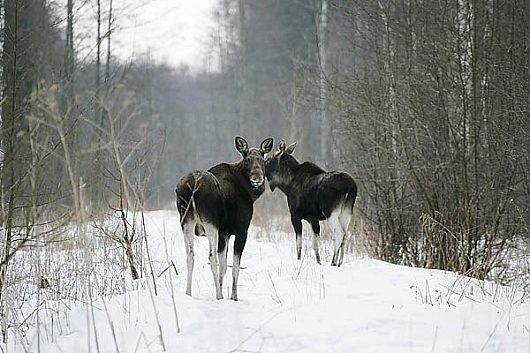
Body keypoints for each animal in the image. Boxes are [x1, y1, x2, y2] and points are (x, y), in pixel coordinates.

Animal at [175, 136, 272, 298]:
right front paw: (232, 297)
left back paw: (188, 293)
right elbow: (234, 267)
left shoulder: (224, 234)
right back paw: (219, 295)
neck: (250, 194)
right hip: (210, 222)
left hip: (186, 221)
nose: (257, 178)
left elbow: (224, 266)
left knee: (190, 255)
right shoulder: (240, 231)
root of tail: (194, 183)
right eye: (247, 160)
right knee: (211, 257)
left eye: (263, 160)